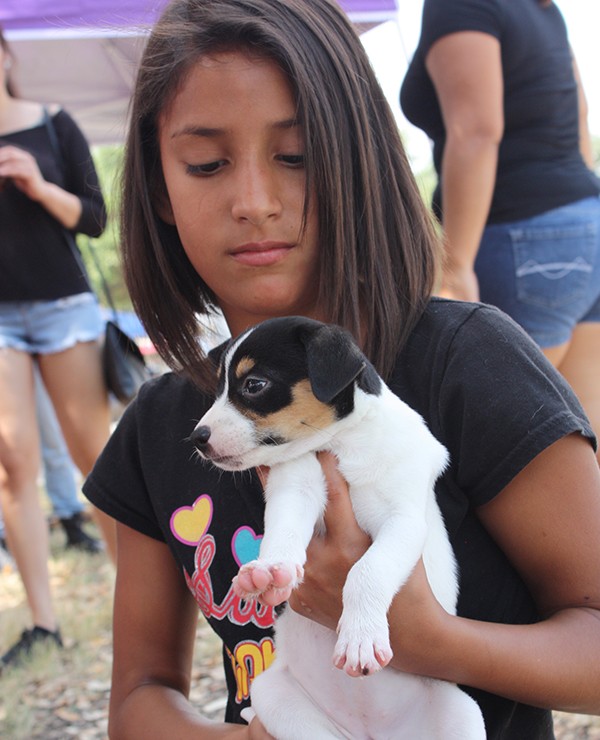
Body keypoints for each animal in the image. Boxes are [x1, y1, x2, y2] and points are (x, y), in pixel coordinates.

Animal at [192, 316, 488, 740]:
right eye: (219, 389)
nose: (198, 438)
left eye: (254, 385)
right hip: (280, 701)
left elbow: (367, 570)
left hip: (462, 714)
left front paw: (360, 637)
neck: (344, 444)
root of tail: (372, 734)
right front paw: (270, 570)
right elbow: (283, 531)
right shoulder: (295, 489)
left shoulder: (403, 520)